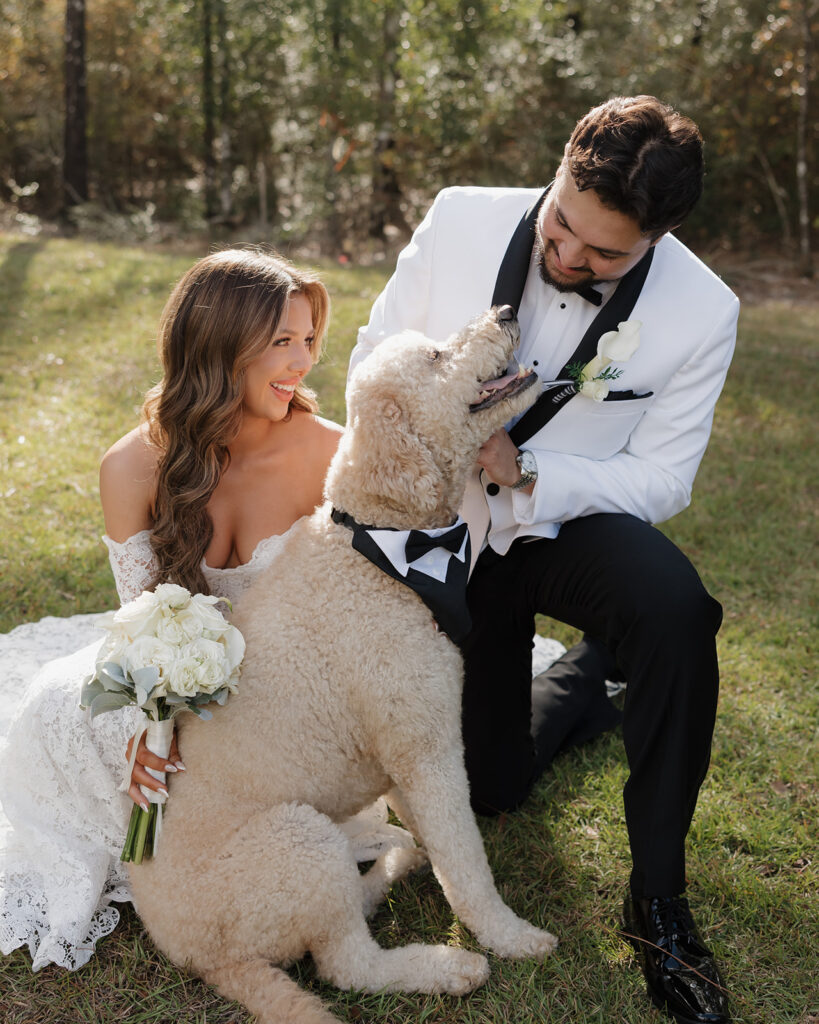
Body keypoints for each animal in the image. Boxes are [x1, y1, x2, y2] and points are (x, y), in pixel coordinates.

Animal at [131, 305, 556, 1024]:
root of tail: (203, 959)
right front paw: (509, 936)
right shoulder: (425, 746)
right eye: (437, 356)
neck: (382, 547)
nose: (503, 311)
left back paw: (391, 868)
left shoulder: (406, 753)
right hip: (298, 844)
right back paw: (448, 967)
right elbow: (466, 861)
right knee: (347, 966)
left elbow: (443, 842)